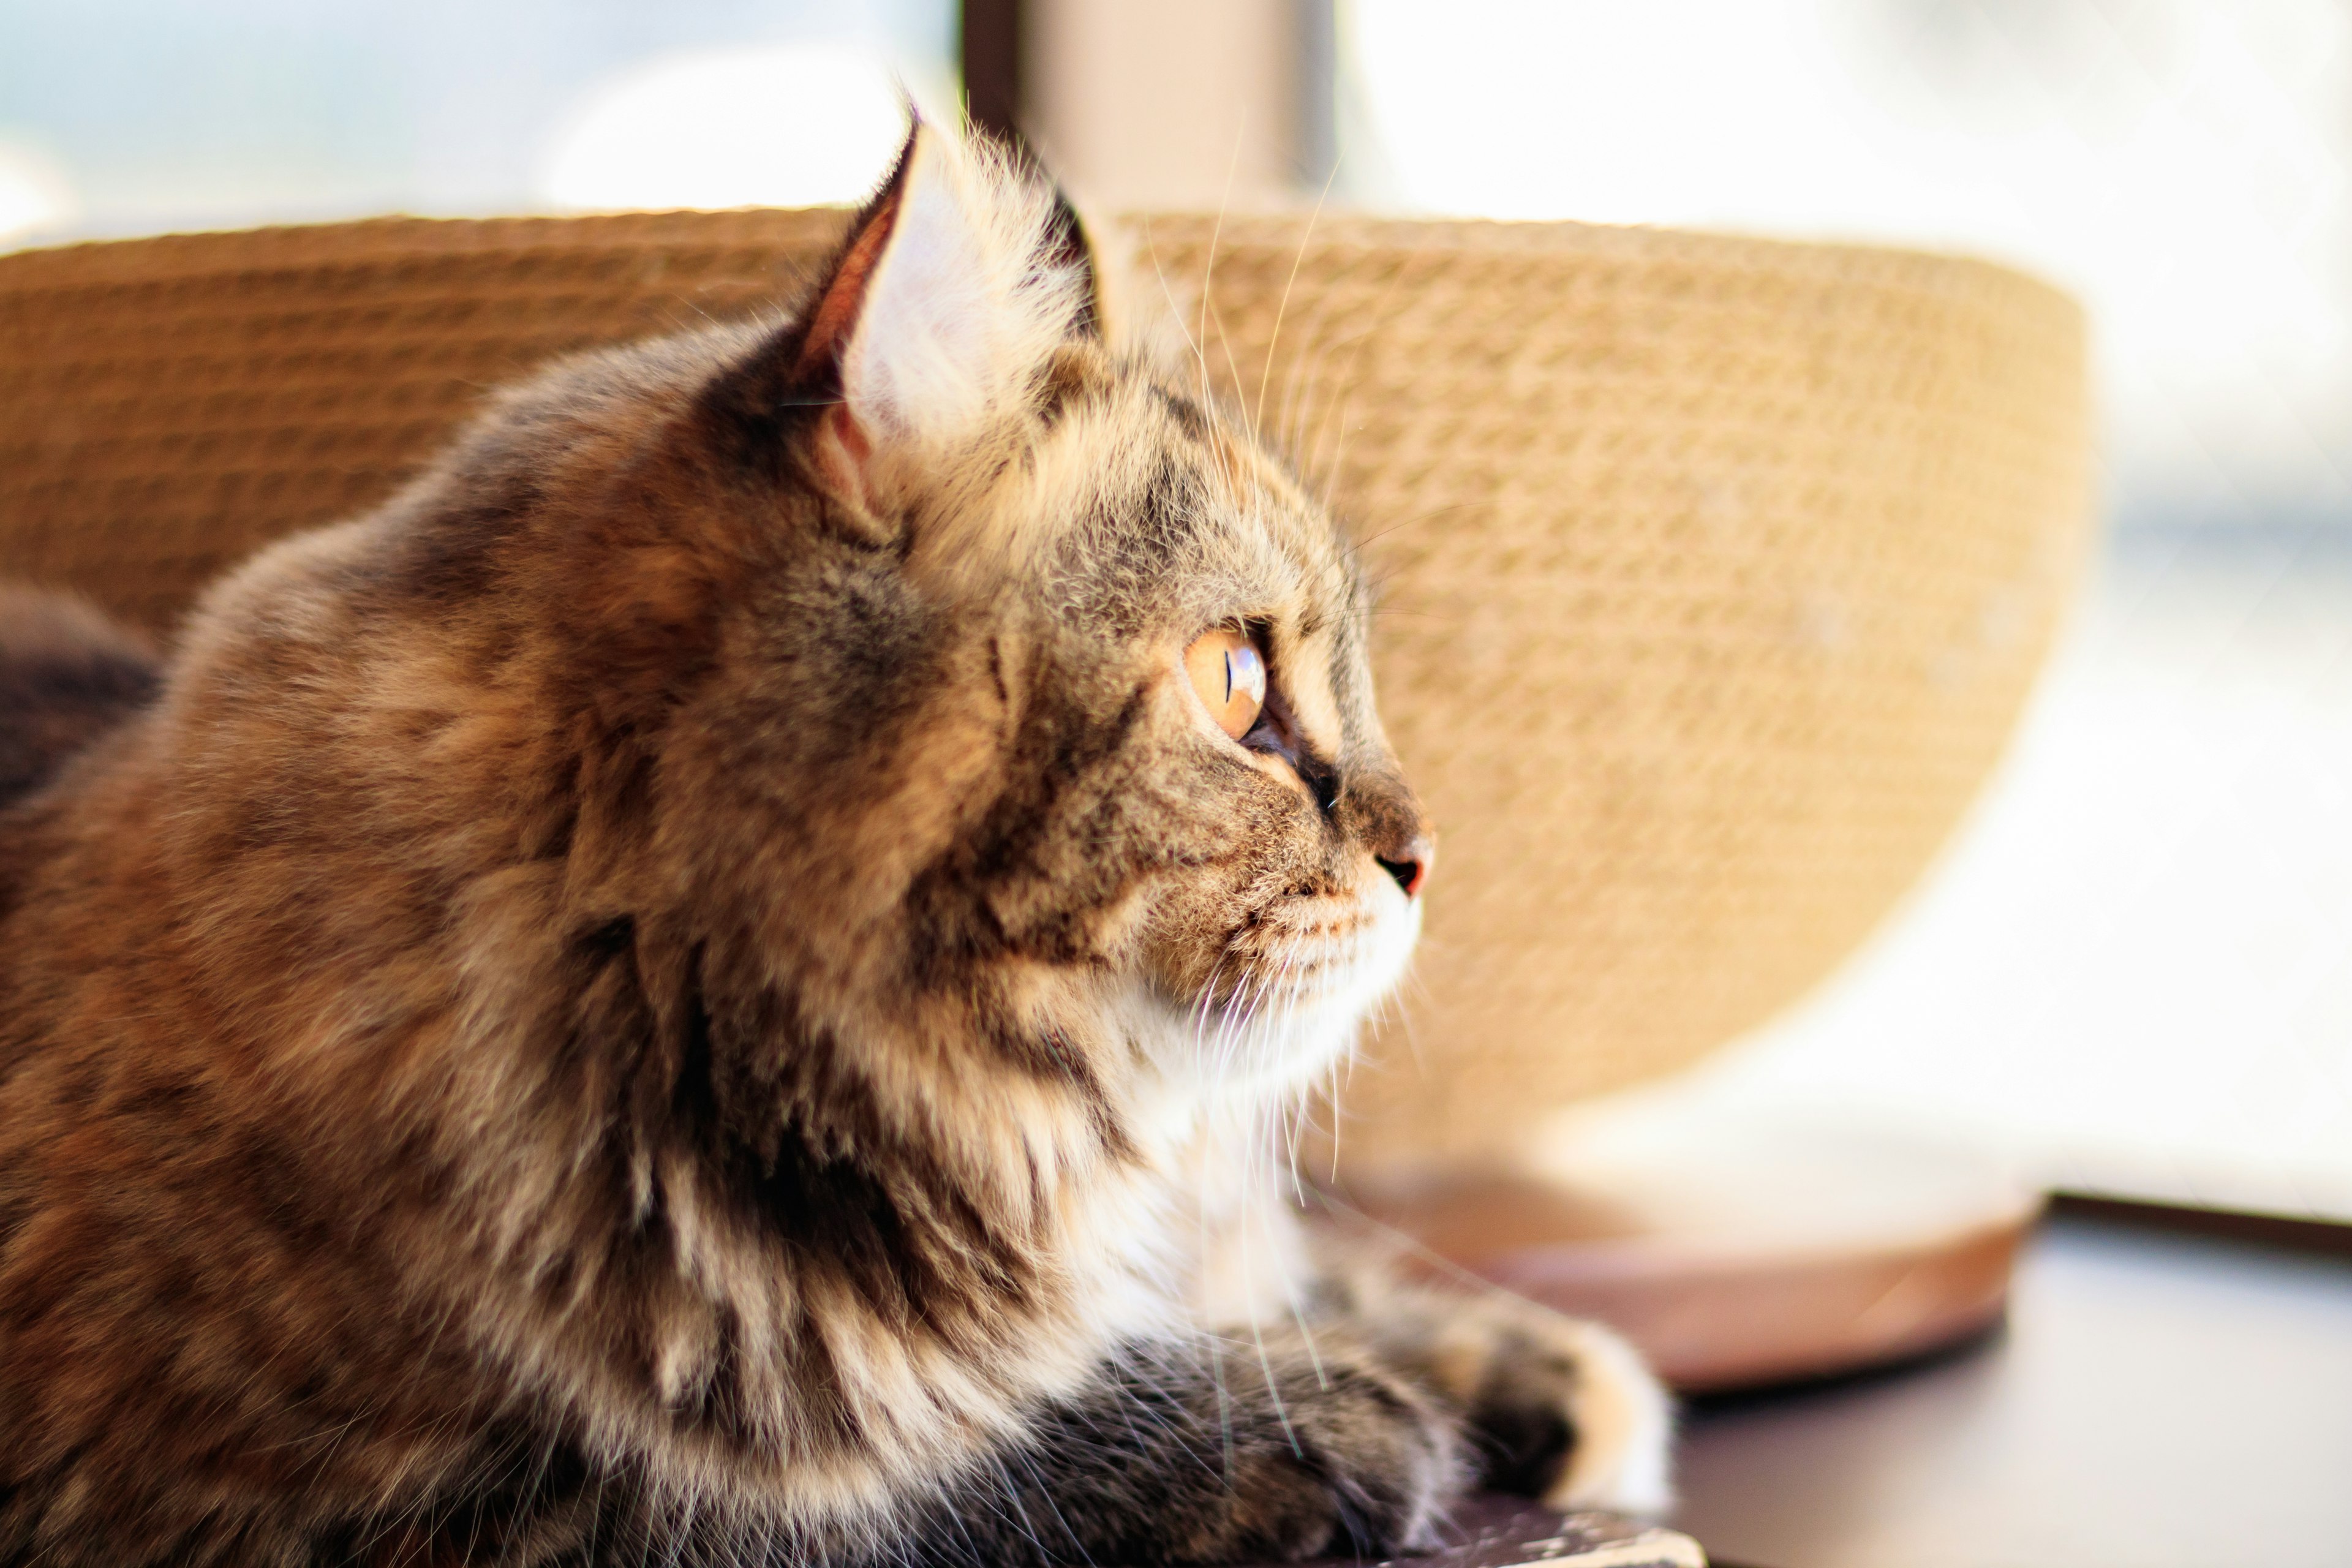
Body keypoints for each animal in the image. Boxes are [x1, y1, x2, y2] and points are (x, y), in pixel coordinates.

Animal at [0, 123, 1675, 1568]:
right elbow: (864, 1484)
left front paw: (1512, 1365)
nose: (1423, 852)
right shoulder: (333, 1505)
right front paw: (1302, 1412)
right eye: (1233, 685)